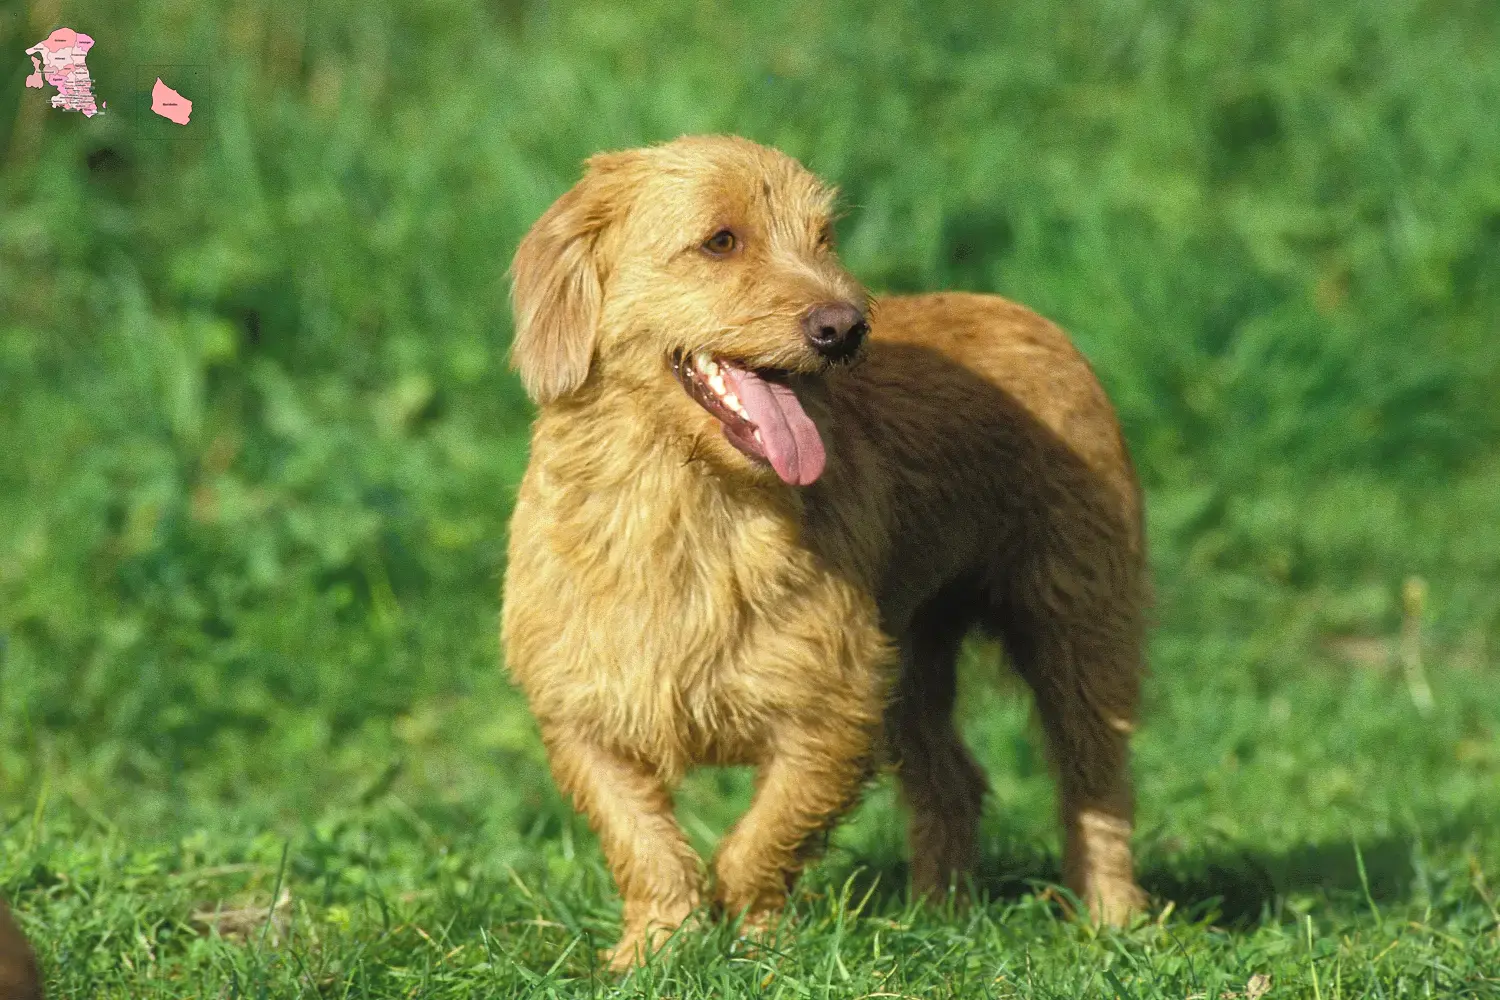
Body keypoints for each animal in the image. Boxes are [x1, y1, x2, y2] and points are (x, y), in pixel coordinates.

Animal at [504, 134, 1146, 971]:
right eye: (721, 240)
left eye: (823, 239)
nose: (844, 327)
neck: (688, 504)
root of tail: (1024, 313)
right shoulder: (582, 716)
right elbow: (645, 846)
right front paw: (655, 948)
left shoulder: (834, 708)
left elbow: (761, 841)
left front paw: (758, 945)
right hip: (913, 661)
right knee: (954, 782)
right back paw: (937, 919)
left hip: (1076, 632)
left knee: (1095, 784)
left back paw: (1113, 921)